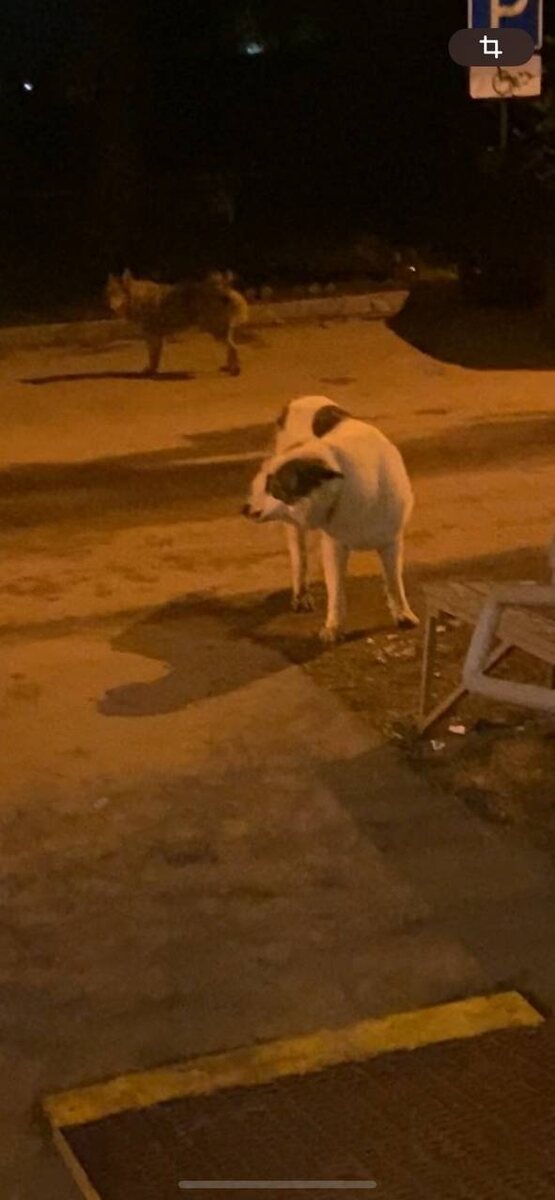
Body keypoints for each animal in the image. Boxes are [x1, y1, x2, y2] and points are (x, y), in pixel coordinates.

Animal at [106, 269, 249, 376]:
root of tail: (223, 288)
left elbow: (153, 356)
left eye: (119, 294)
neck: (137, 297)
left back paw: (235, 370)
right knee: (231, 348)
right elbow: (155, 356)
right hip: (219, 330)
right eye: (110, 294)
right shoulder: (156, 337)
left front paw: (150, 371)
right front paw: (153, 370)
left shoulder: (152, 336)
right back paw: (229, 367)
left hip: (214, 329)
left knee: (233, 347)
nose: (111, 308)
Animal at [243, 395, 418, 643]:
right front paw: (334, 628)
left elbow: (394, 582)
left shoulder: (391, 542)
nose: (244, 508)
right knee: (300, 559)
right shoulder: (334, 547)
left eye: (274, 487)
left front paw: (403, 614)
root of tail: (300, 399)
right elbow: (336, 592)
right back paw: (301, 595)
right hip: (294, 529)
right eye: (266, 485)